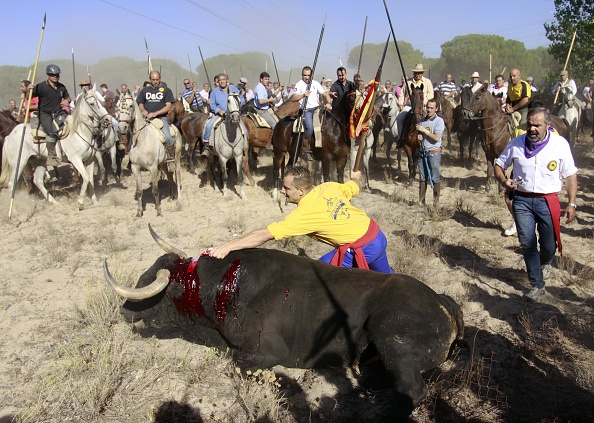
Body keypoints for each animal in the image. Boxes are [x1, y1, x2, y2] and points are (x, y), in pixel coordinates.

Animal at [105, 227, 462, 420]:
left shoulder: (263, 353)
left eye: (157, 287)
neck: (227, 287)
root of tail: (439, 301)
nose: (124, 311)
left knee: (413, 390)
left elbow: (237, 364)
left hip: (391, 337)